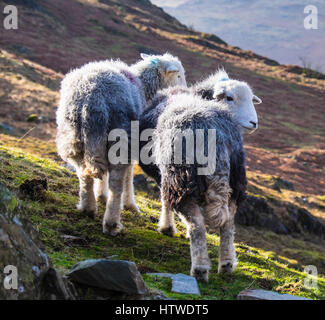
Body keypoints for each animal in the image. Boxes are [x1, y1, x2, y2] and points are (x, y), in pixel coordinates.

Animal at [56, 53, 186, 236]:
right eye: (179, 75)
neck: (144, 87)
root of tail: (91, 97)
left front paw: (101, 195)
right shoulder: (133, 145)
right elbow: (128, 176)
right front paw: (130, 204)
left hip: (74, 138)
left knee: (84, 174)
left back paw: (88, 207)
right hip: (119, 140)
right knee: (116, 183)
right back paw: (111, 223)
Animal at [138, 70, 260, 282]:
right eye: (229, 97)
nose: (254, 122)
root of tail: (216, 136)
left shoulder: (165, 175)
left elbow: (164, 199)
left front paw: (166, 228)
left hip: (181, 178)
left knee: (196, 224)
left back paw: (200, 268)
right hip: (236, 178)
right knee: (228, 223)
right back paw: (227, 264)